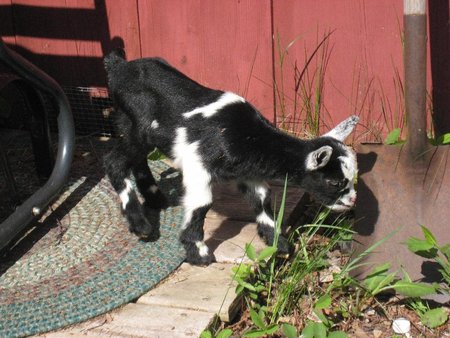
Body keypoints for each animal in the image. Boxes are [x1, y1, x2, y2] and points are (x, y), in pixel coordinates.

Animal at [103, 50, 358, 266]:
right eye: (335, 182)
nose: (352, 200)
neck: (248, 137)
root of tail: (118, 67)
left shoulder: (248, 172)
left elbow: (262, 198)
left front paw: (278, 242)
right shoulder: (198, 164)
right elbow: (202, 204)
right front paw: (199, 254)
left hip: (131, 127)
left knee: (136, 159)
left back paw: (156, 199)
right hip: (139, 126)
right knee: (114, 162)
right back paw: (141, 225)